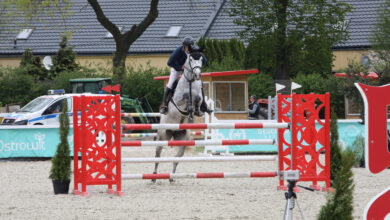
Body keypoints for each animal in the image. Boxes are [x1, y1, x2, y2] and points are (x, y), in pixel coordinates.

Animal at [153, 46, 206, 182]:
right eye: (191, 59)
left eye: (201, 59)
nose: (198, 75)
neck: (191, 81)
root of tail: (173, 131)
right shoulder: (178, 101)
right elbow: (186, 96)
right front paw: (190, 107)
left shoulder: (199, 96)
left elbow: (198, 98)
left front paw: (195, 111)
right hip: (163, 136)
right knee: (157, 155)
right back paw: (154, 176)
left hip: (182, 139)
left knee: (176, 158)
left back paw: (171, 177)